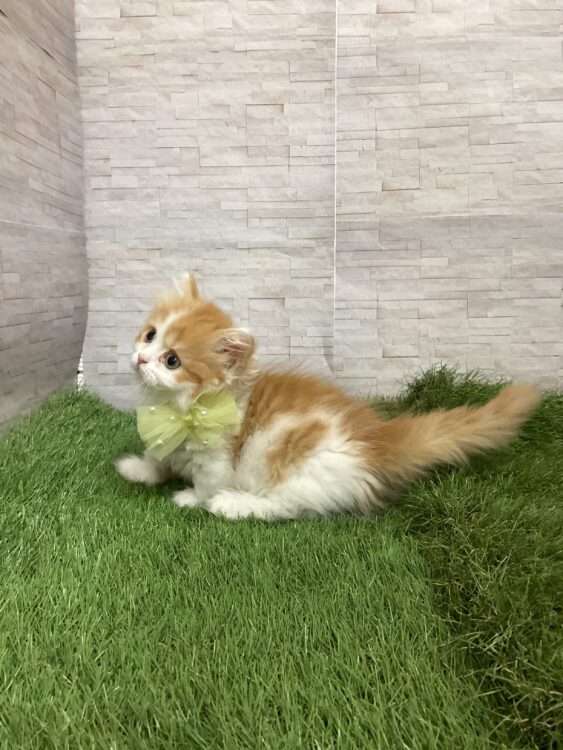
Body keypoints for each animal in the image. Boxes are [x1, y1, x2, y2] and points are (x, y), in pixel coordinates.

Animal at [116, 274, 540, 521]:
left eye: (173, 360)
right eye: (150, 335)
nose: (141, 357)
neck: (183, 408)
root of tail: (379, 441)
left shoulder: (218, 457)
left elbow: (207, 482)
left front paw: (191, 498)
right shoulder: (164, 436)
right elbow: (159, 458)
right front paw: (139, 469)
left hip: (297, 468)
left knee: (287, 506)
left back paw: (235, 505)